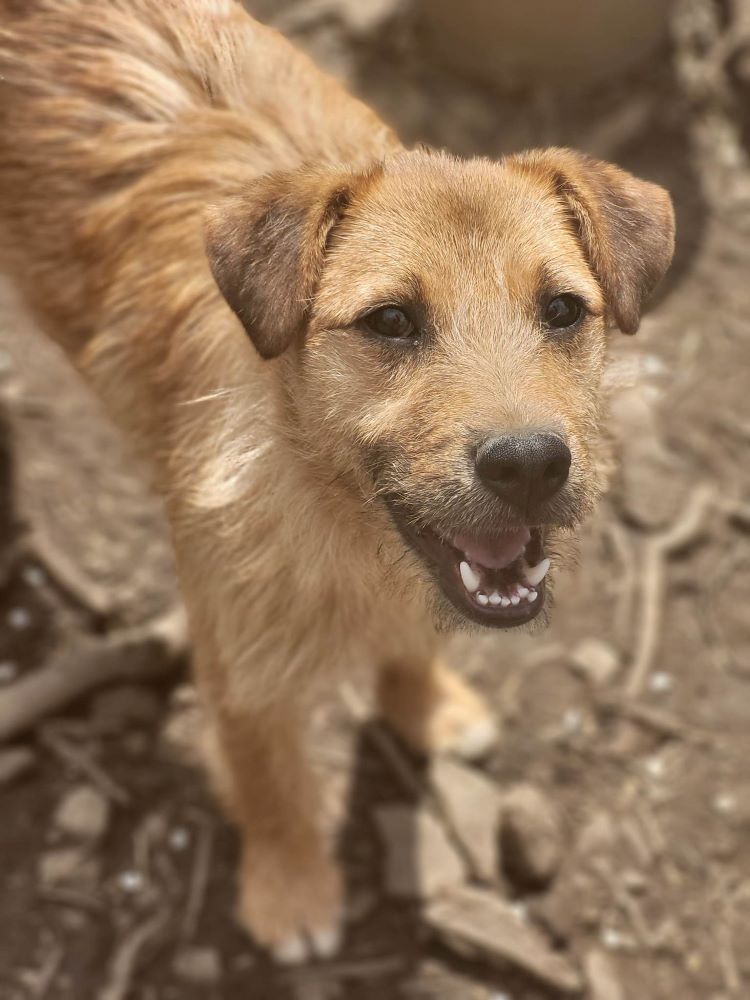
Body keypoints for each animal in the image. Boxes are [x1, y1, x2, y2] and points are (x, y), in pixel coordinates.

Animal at [0, 0, 680, 964]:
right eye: (390, 321)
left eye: (561, 310)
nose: (529, 464)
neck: (329, 500)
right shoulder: (235, 651)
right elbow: (269, 772)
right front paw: (292, 892)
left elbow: (414, 643)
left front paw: (427, 710)